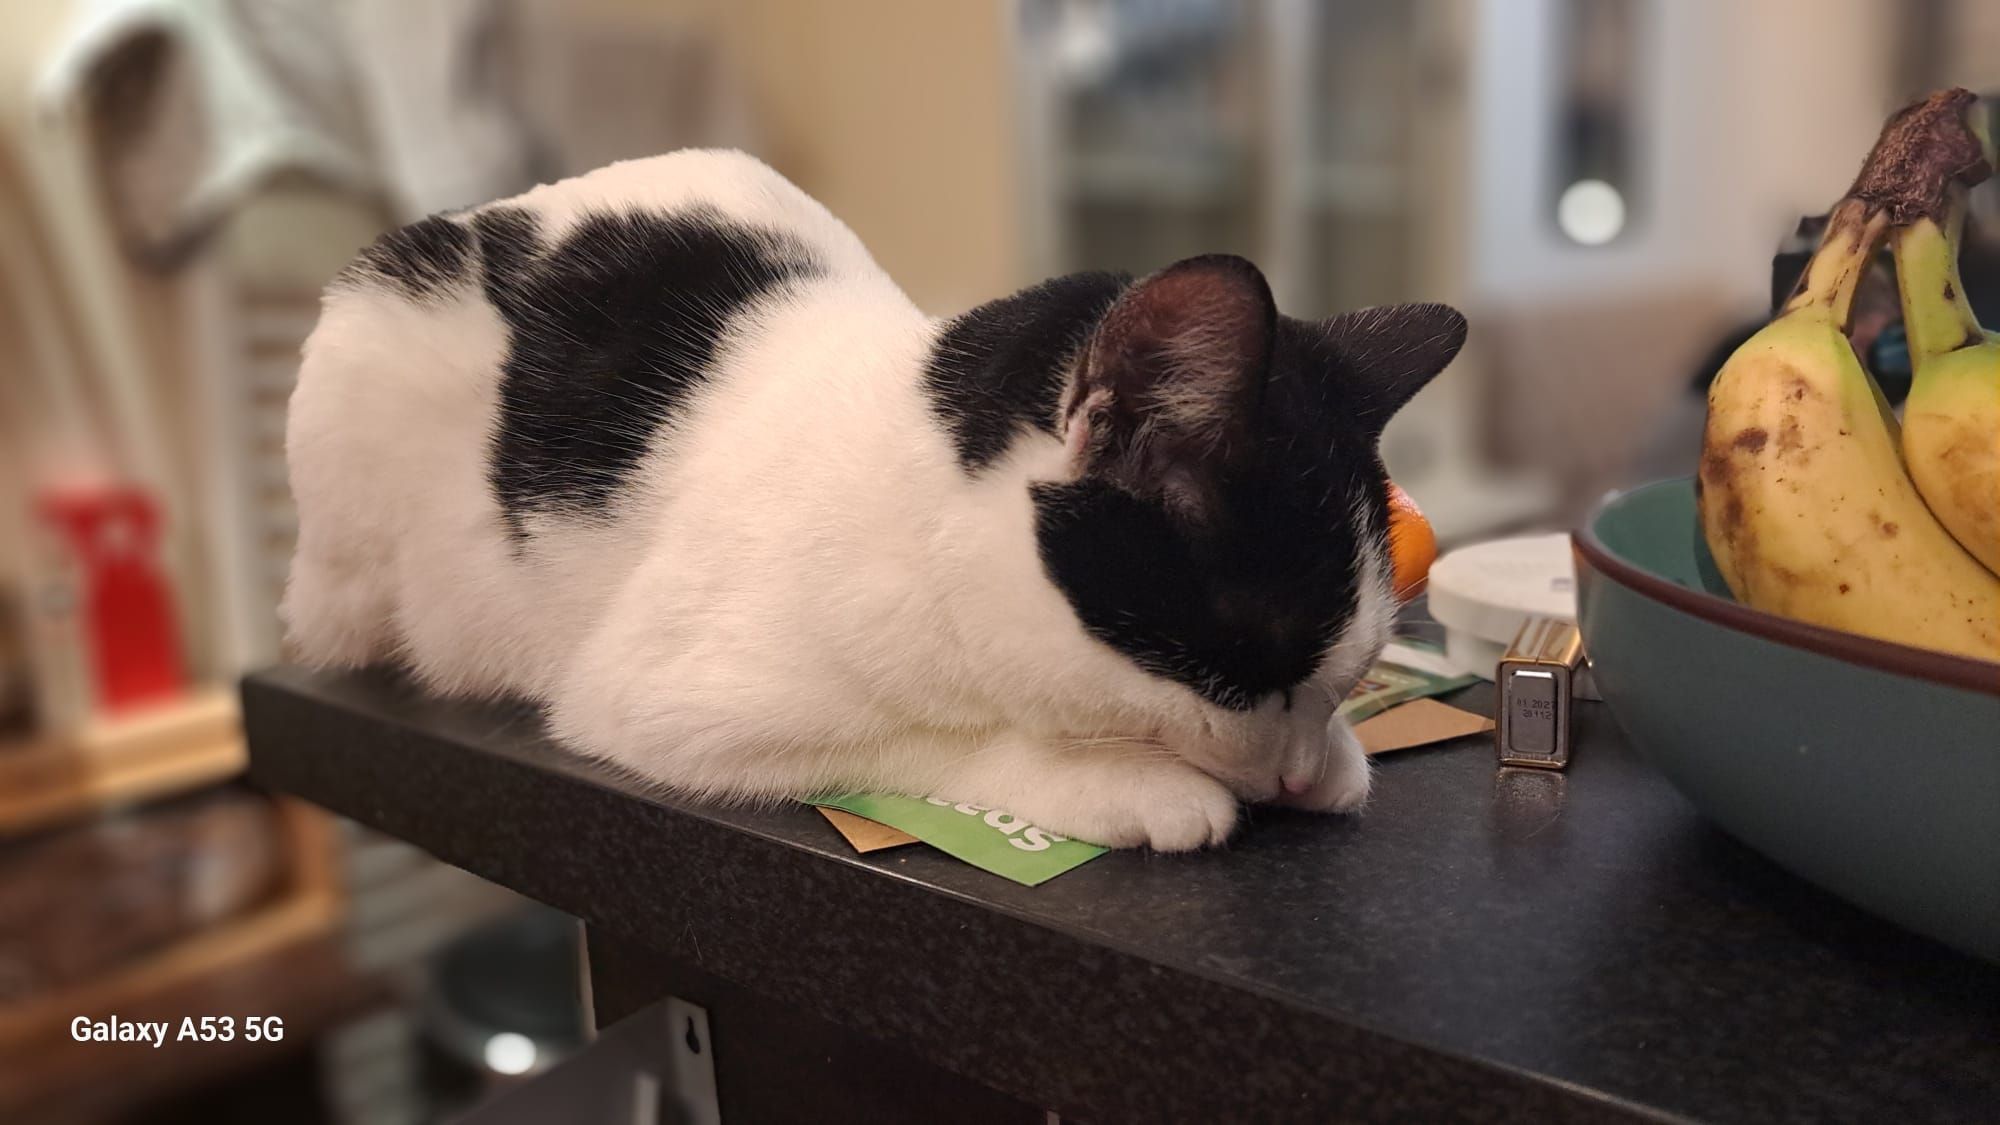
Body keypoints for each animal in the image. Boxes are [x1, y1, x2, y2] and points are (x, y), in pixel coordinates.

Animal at [282, 150, 1465, 850]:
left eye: (1358, 666)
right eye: (1250, 654)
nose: (1290, 773)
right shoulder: (657, 699)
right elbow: (921, 740)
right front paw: (1116, 781)